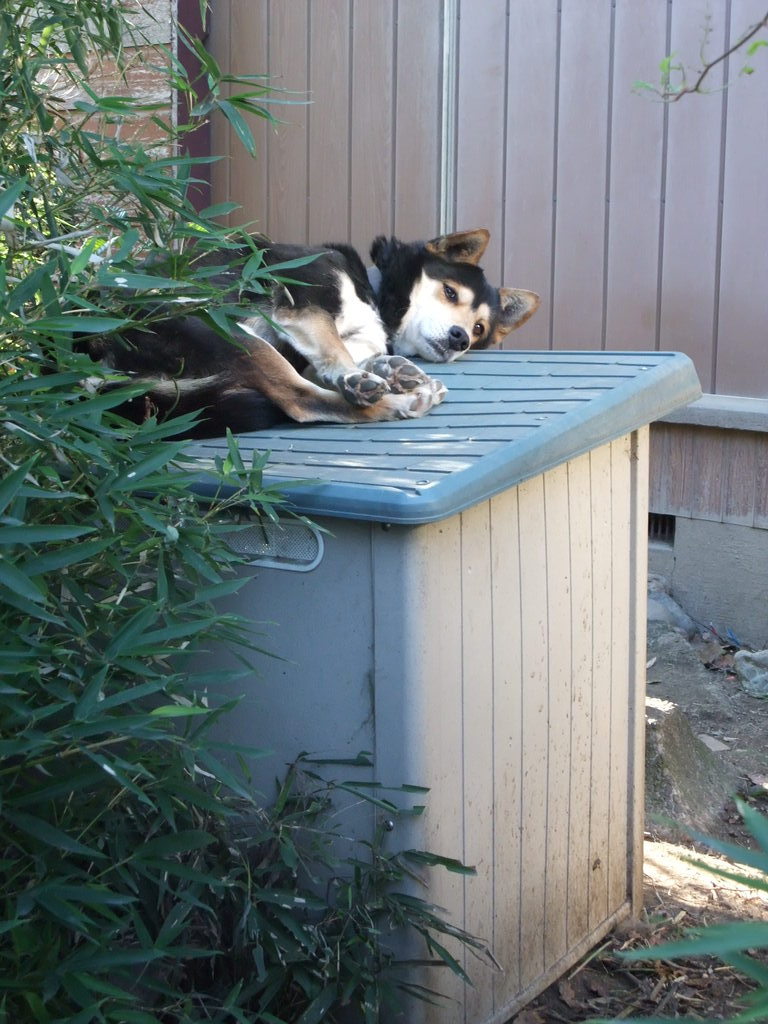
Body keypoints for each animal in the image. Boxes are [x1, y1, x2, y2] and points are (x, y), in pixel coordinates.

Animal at [88, 228, 540, 436]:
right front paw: (360, 376)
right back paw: (401, 403)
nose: (461, 339)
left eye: (480, 328)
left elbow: (346, 353)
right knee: (299, 400)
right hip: (219, 326)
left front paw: (393, 368)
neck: (372, 290)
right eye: (450, 292)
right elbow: (335, 353)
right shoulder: (301, 308)